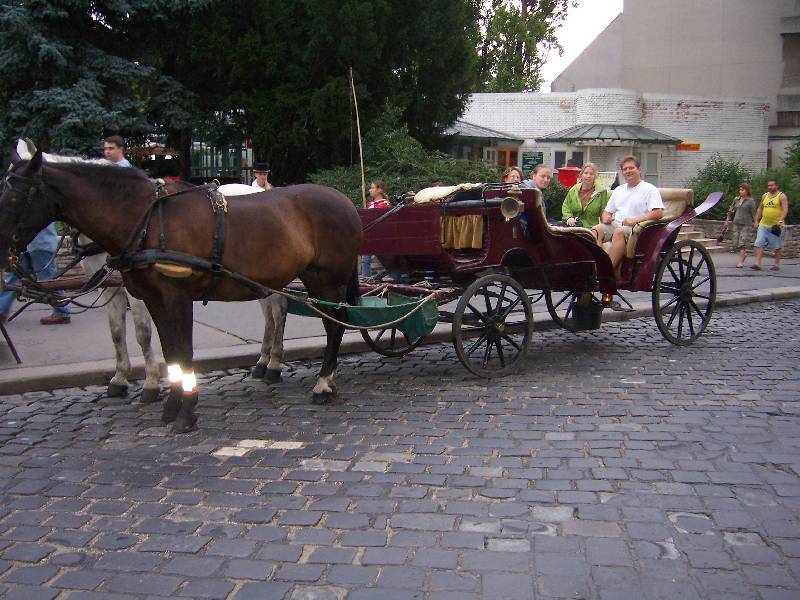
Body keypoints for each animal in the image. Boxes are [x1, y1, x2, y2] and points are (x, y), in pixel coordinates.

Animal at [0, 139, 362, 433]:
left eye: (17, 194)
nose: (3, 250)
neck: (146, 220)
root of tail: (344, 201)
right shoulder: (151, 298)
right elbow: (166, 349)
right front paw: (170, 405)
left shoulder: (176, 297)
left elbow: (180, 349)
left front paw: (184, 411)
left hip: (326, 279)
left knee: (333, 326)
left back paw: (322, 382)